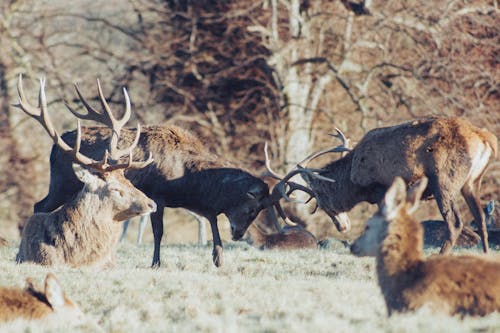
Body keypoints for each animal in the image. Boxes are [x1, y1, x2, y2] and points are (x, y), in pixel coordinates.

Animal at [29, 81, 306, 268]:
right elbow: (159, 232)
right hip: (60, 184)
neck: (187, 181)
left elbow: (211, 221)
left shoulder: (199, 204)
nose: (238, 234)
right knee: (39, 205)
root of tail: (55, 146)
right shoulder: (157, 195)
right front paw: (156, 263)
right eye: (251, 208)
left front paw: (218, 258)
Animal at [270, 118, 500, 254]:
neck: (354, 179)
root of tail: (486, 139)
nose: (342, 227)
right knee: (480, 219)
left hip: (445, 181)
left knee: (455, 222)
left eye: (320, 199)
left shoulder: (382, 189)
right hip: (472, 182)